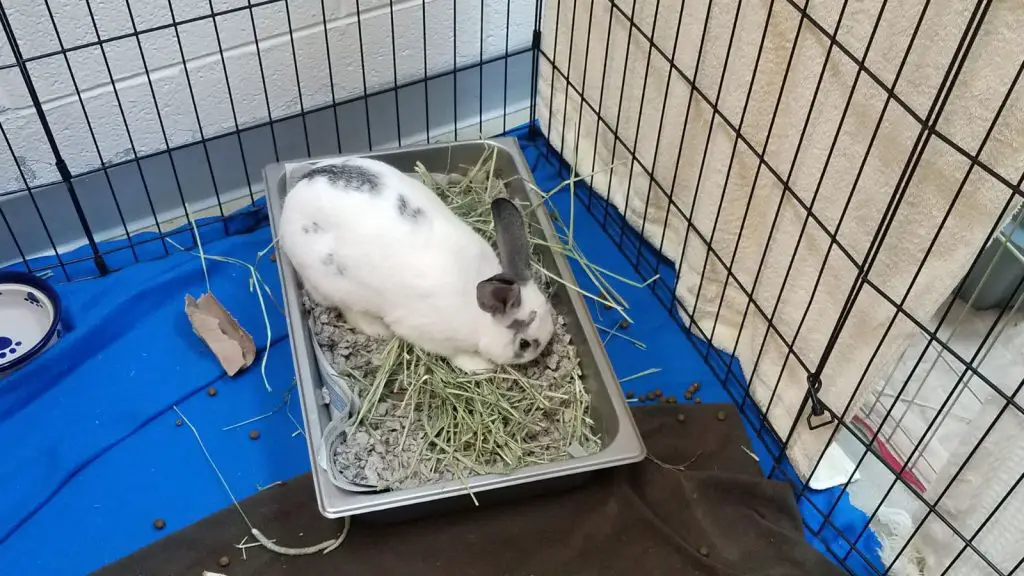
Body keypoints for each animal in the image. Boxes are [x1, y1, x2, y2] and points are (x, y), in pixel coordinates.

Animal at [278, 156, 555, 373]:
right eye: (524, 344)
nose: (541, 352)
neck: (478, 314)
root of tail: (293, 196)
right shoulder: (430, 336)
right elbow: (456, 355)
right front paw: (481, 366)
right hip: (334, 284)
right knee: (349, 310)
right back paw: (379, 330)